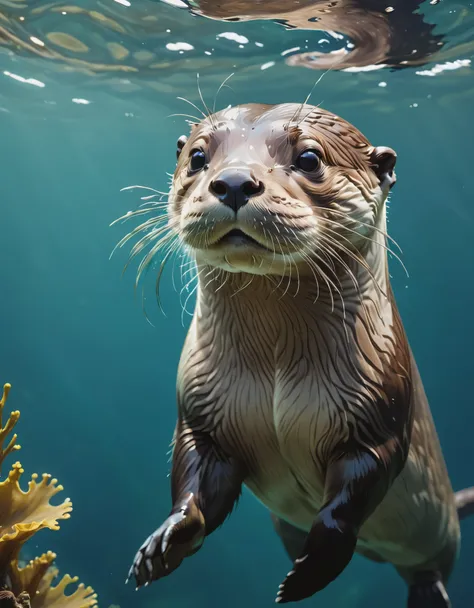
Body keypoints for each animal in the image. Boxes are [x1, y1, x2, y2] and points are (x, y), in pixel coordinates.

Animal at [123, 102, 474, 604]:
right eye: (197, 157)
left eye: (309, 158)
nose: (234, 182)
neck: (273, 372)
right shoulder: (201, 410)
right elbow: (194, 480)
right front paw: (165, 540)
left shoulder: (378, 415)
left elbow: (351, 499)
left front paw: (310, 572)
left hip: (439, 537)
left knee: (431, 567)